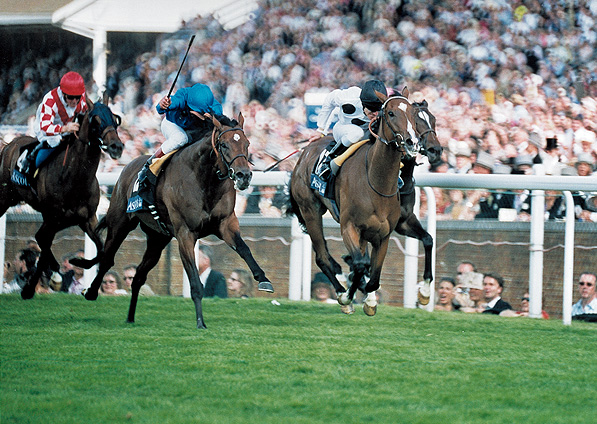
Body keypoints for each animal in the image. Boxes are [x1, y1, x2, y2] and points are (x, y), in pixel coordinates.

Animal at [0, 95, 123, 298]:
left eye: (115, 119)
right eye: (96, 120)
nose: (116, 146)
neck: (74, 177)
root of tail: (8, 145)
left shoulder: (87, 218)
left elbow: (102, 249)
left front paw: (79, 264)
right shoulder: (53, 217)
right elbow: (43, 250)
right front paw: (29, 289)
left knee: (40, 237)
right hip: (7, 198)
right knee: (40, 238)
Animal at [77, 112, 274, 328]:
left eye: (247, 143)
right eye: (224, 145)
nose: (243, 175)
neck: (205, 180)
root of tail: (126, 168)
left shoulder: (225, 224)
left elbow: (244, 249)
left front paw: (264, 279)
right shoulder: (185, 233)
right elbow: (195, 281)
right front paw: (200, 322)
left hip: (157, 238)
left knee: (138, 276)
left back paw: (130, 317)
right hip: (120, 223)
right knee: (107, 258)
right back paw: (91, 292)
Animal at [288, 89, 420, 314]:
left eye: (413, 113)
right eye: (391, 113)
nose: (412, 142)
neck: (377, 182)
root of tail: (304, 154)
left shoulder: (382, 235)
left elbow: (373, 275)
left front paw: (369, 298)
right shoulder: (349, 226)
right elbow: (359, 264)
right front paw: (349, 296)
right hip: (310, 210)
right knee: (322, 256)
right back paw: (342, 292)